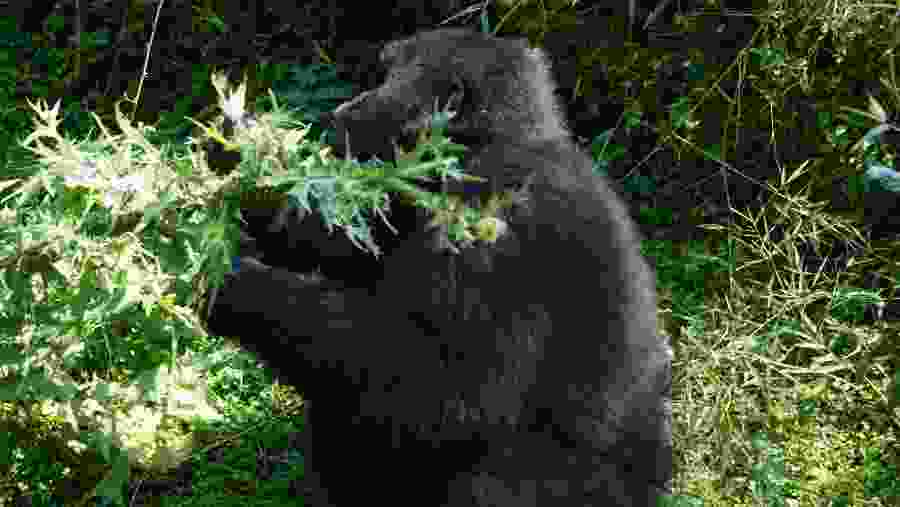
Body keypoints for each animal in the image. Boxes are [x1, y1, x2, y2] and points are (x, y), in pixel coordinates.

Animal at [206, 28, 672, 506]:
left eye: (386, 78)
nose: (342, 111)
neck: (490, 141)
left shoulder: (488, 221)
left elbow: (446, 391)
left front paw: (237, 290)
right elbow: (349, 242)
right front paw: (248, 163)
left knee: (484, 475)